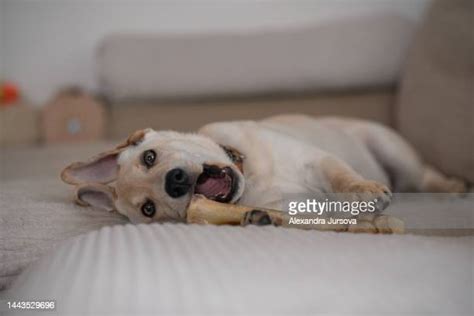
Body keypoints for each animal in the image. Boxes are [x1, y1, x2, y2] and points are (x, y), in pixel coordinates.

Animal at [60, 115, 466, 232]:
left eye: (149, 157)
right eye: (149, 209)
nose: (174, 182)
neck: (250, 175)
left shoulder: (315, 158)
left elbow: (341, 177)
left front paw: (362, 189)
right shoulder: (288, 203)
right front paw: (258, 218)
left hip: (392, 150)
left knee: (424, 176)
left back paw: (452, 186)